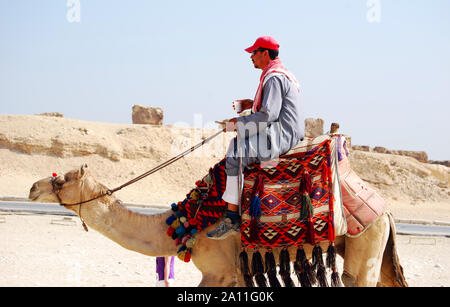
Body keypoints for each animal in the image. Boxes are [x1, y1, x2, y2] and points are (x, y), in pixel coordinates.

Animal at [28, 165, 408, 288]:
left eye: (60, 180)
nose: (33, 188)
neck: (185, 225)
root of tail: (387, 211)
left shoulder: (219, 271)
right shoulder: (235, 273)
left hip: (366, 242)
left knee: (358, 279)